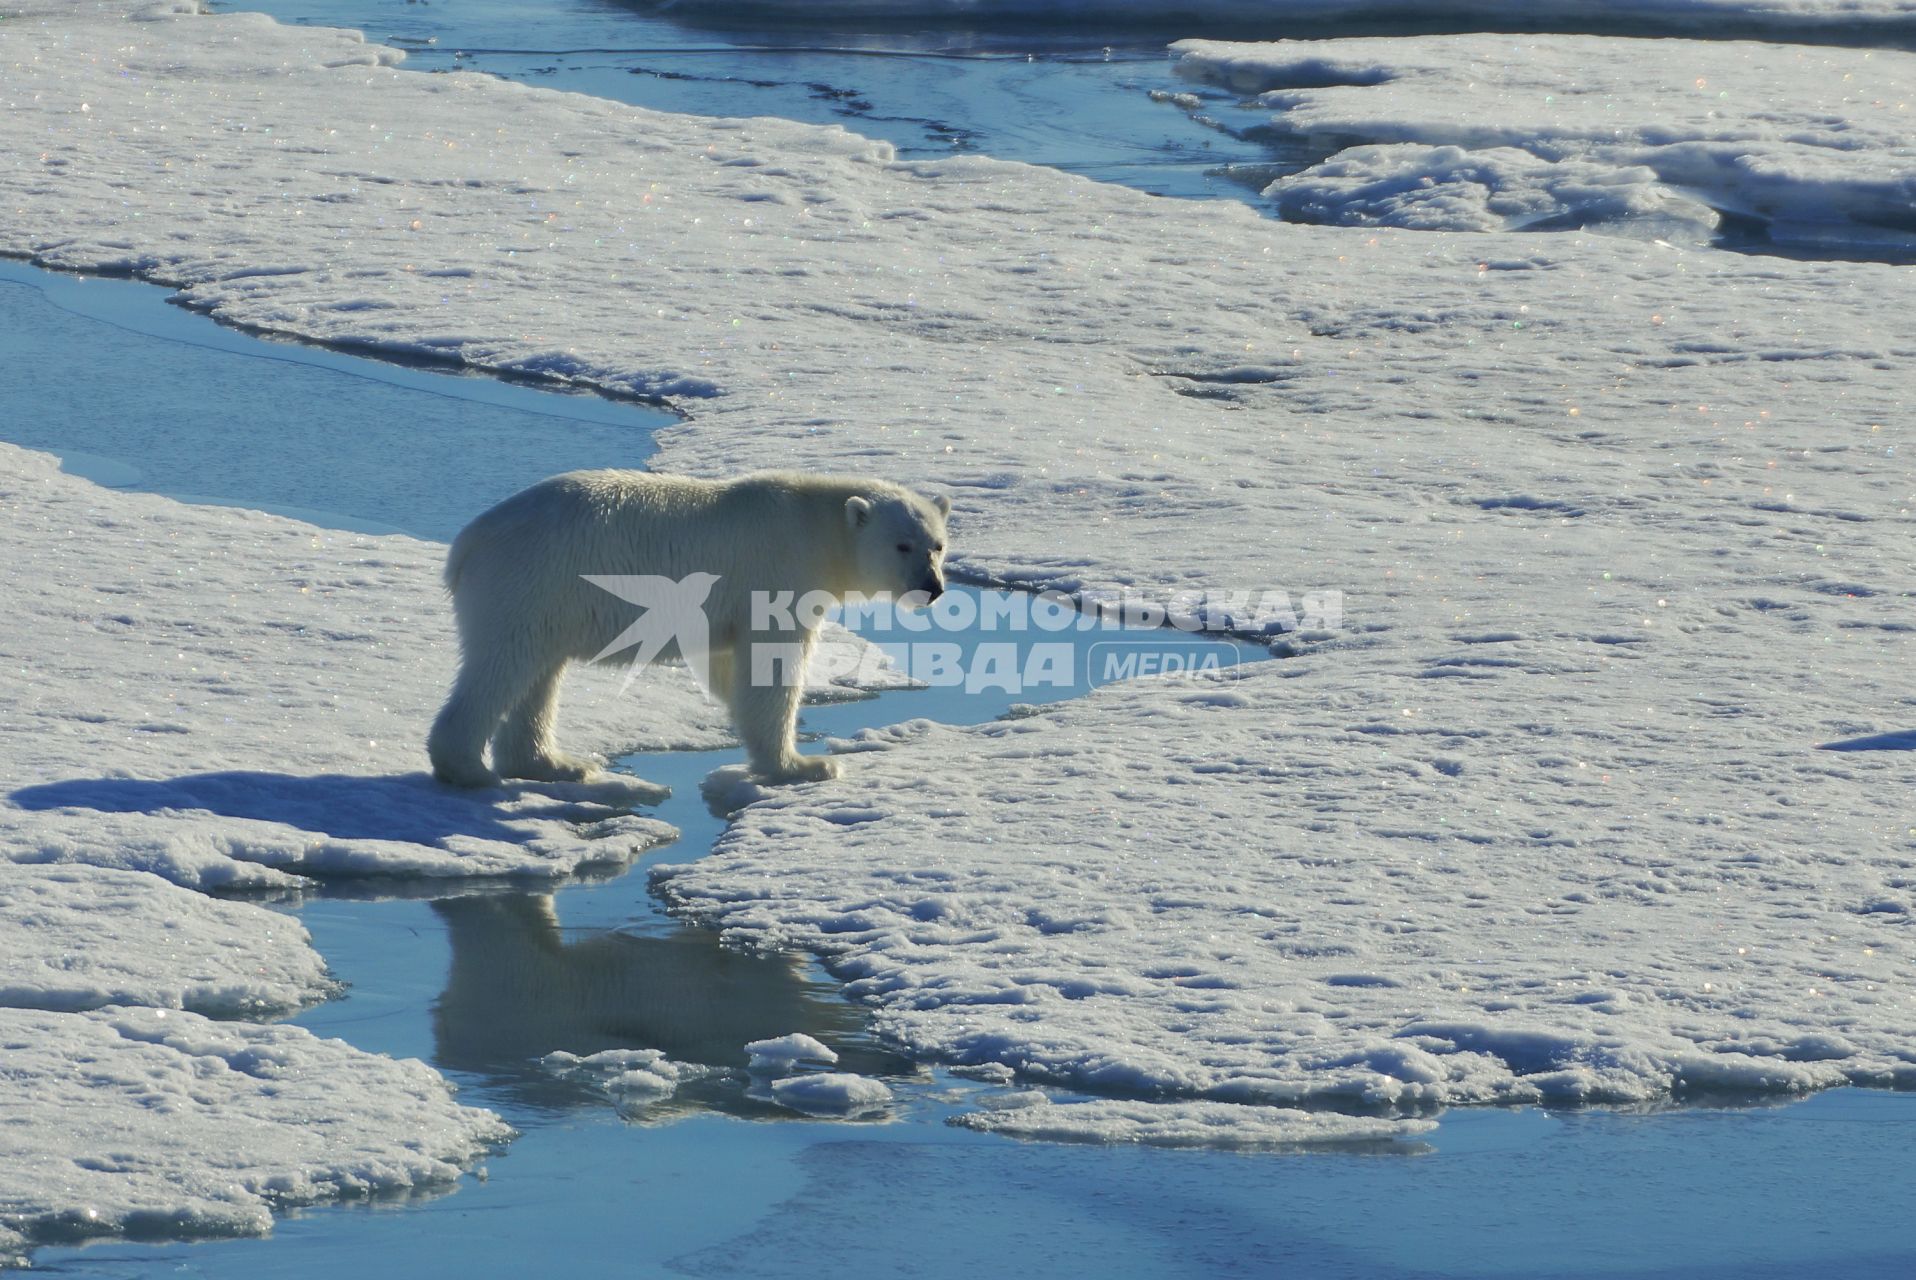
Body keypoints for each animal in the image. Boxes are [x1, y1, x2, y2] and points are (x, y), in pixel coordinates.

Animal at [429, 469, 950, 789]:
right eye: (902, 545)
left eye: (938, 545)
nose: (933, 587)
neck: (814, 525)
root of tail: (467, 543)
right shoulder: (777, 572)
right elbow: (771, 664)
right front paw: (805, 765)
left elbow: (729, 668)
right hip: (532, 581)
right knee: (505, 665)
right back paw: (469, 770)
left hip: (550, 599)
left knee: (539, 675)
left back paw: (556, 764)